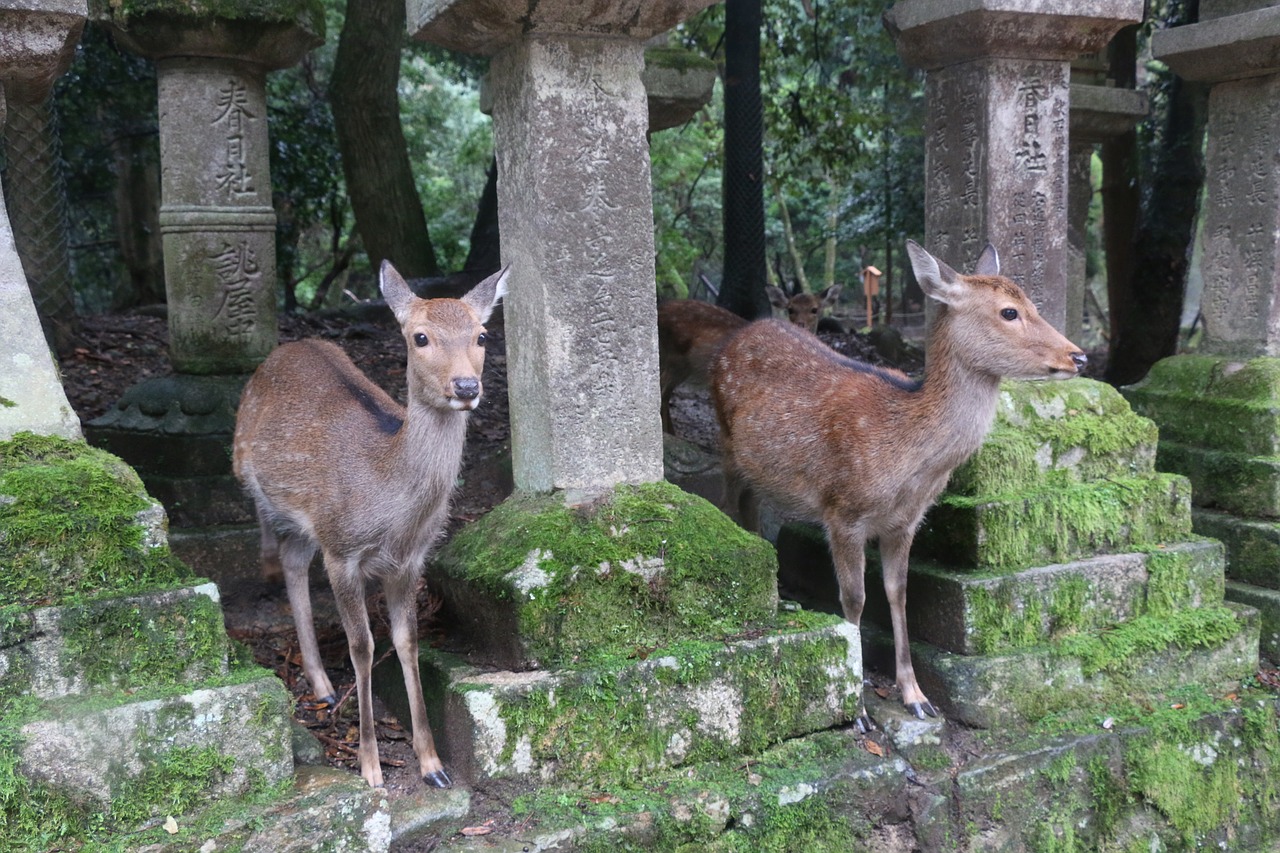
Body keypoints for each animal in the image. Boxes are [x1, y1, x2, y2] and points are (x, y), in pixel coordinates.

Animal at [235, 262, 509, 788]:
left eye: (482, 334)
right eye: (420, 337)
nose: (467, 387)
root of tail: (287, 347)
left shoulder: (409, 562)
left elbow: (407, 642)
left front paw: (433, 765)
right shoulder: (342, 551)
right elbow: (361, 646)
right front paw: (370, 765)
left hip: (311, 527)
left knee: (295, 559)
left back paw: (322, 685)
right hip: (269, 494)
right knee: (280, 549)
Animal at [711, 240, 1080, 722]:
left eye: (1033, 304)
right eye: (1009, 312)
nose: (1078, 355)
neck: (907, 464)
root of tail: (737, 335)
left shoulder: (907, 521)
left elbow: (898, 593)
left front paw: (916, 695)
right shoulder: (842, 511)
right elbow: (854, 599)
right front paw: (857, 708)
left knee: (752, 508)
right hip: (725, 444)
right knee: (726, 502)